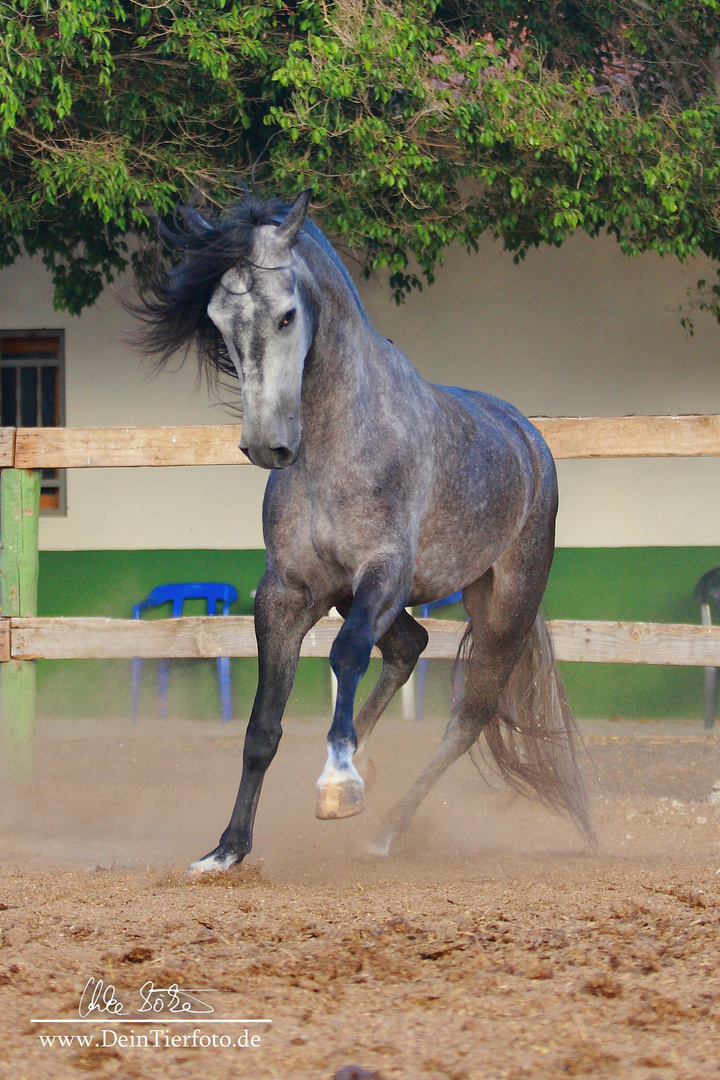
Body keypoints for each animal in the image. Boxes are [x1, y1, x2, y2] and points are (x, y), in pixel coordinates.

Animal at [133, 190, 591, 872]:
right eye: (217, 320)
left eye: (288, 316)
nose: (267, 446)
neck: (338, 443)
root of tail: (529, 439)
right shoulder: (289, 592)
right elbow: (261, 727)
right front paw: (228, 849)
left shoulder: (385, 572)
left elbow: (347, 654)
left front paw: (338, 788)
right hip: (369, 597)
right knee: (410, 646)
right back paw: (360, 759)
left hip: (503, 603)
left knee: (469, 714)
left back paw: (383, 827)